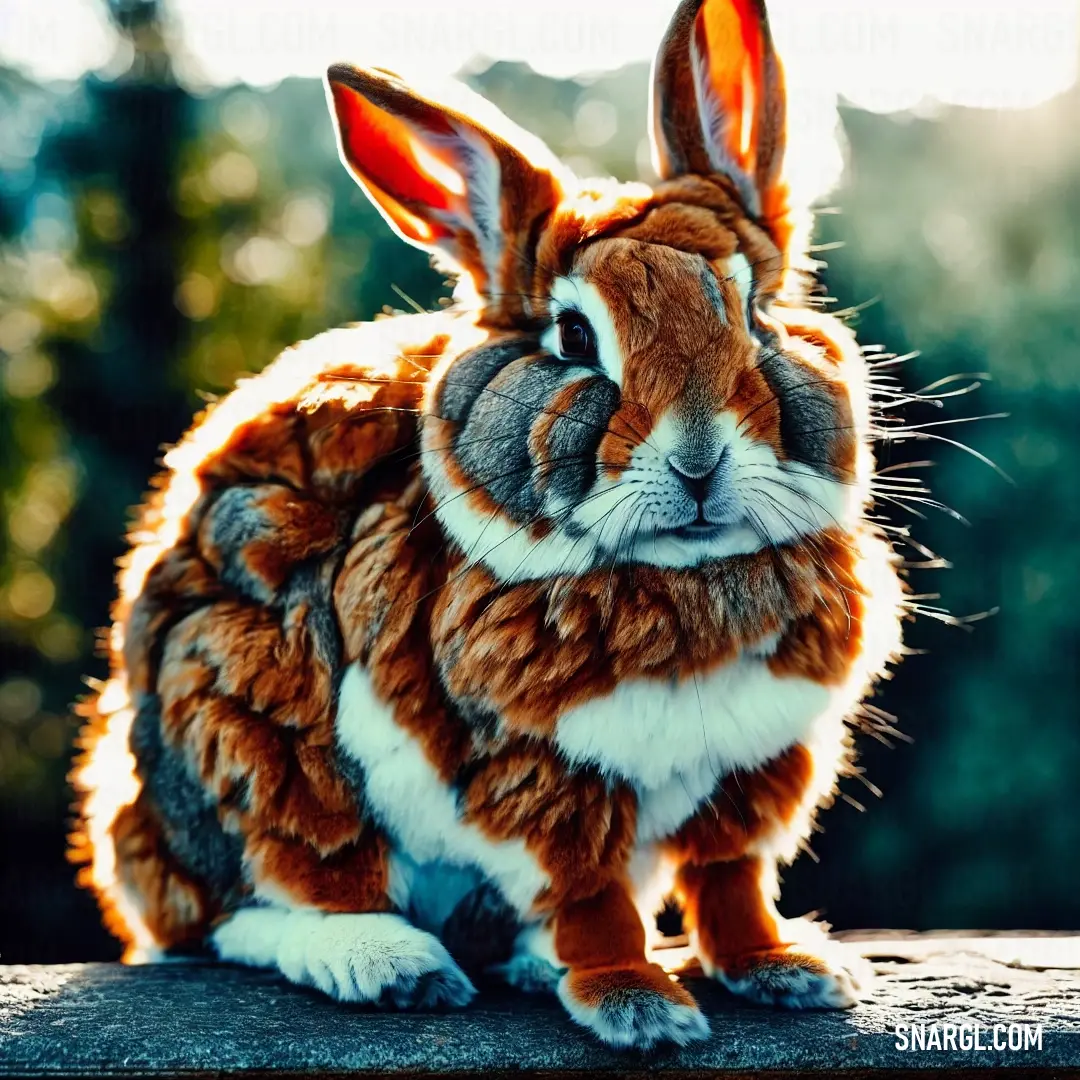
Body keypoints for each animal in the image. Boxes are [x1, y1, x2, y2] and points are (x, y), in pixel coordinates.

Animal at [71, 0, 907, 1049]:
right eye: (574, 337)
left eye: (755, 310)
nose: (698, 461)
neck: (683, 572)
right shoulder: (540, 779)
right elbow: (591, 902)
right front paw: (638, 1008)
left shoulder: (751, 772)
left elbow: (730, 886)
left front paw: (788, 971)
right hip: (248, 743)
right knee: (250, 910)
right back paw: (390, 964)